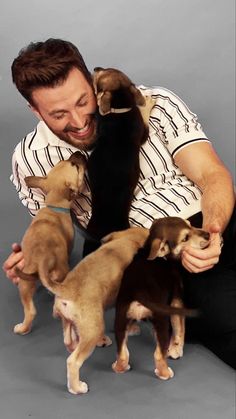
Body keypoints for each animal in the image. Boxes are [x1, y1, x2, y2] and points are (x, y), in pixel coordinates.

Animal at [13, 153, 86, 336]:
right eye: (75, 166)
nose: (78, 154)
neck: (54, 205)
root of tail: (42, 260)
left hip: (24, 283)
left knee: (30, 311)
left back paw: (22, 328)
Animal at [34, 226, 149, 394]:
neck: (127, 239)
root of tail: (67, 288)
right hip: (93, 330)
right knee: (73, 362)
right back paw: (77, 388)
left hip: (69, 321)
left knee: (68, 341)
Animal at [83, 67, 155, 254]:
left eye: (102, 73)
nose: (96, 68)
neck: (119, 108)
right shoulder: (142, 133)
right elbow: (144, 115)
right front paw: (147, 103)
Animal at [112, 218, 210, 382]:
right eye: (185, 238)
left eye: (190, 224)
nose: (208, 234)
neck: (149, 249)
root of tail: (139, 294)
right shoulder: (177, 300)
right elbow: (179, 328)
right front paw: (176, 347)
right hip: (162, 322)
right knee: (158, 355)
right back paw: (165, 373)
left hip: (120, 321)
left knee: (122, 354)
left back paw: (119, 367)